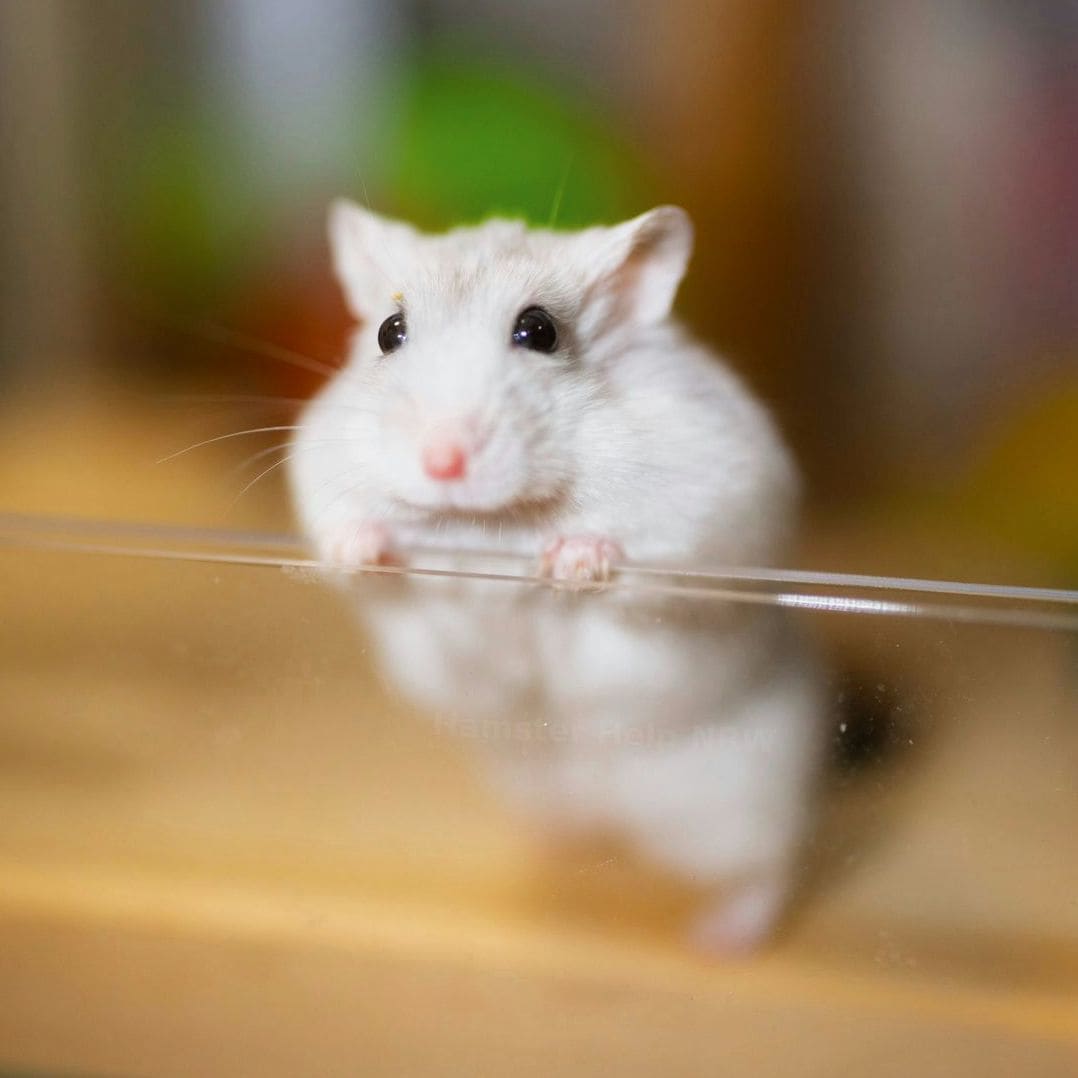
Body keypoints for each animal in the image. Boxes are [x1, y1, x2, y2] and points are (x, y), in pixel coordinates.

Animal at [288, 201, 829, 954]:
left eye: (539, 331)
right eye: (389, 332)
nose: (442, 461)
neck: (492, 523)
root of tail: (609, 814)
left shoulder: (712, 506)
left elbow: (644, 563)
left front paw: (568, 559)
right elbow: (366, 559)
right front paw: (358, 545)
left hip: (741, 800)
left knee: (769, 872)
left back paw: (720, 940)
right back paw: (553, 852)